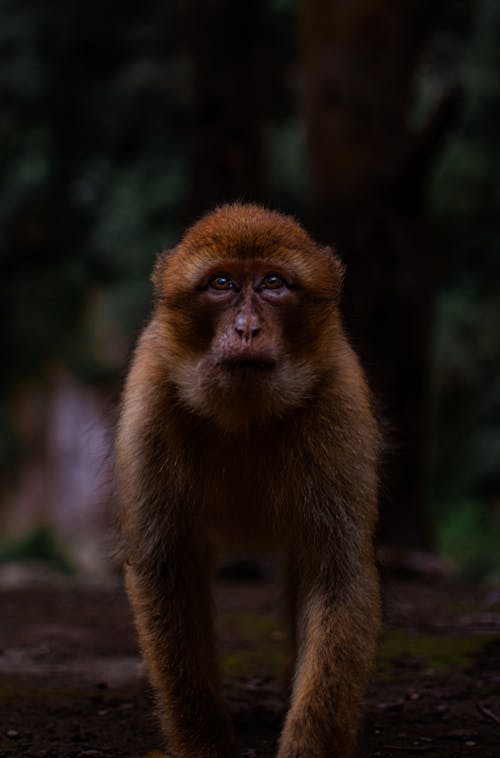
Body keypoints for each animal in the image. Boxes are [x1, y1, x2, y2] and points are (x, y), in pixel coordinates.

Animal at [116, 205, 378, 756]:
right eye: (221, 283)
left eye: (273, 283)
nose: (247, 328)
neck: (243, 417)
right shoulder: (151, 400)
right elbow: (166, 569)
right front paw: (205, 743)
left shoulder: (339, 399)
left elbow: (337, 574)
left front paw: (307, 745)